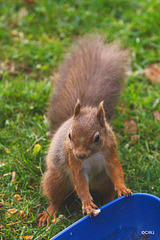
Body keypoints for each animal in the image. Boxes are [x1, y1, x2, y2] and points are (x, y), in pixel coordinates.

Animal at [36, 34, 131, 226]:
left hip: (104, 180)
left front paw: (123, 188)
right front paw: (87, 204)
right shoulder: (72, 159)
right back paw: (49, 213)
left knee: (107, 191)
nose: (80, 154)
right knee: (57, 197)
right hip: (56, 179)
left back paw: (110, 201)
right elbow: (80, 182)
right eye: (70, 135)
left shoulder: (109, 150)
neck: (91, 155)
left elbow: (116, 170)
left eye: (97, 138)